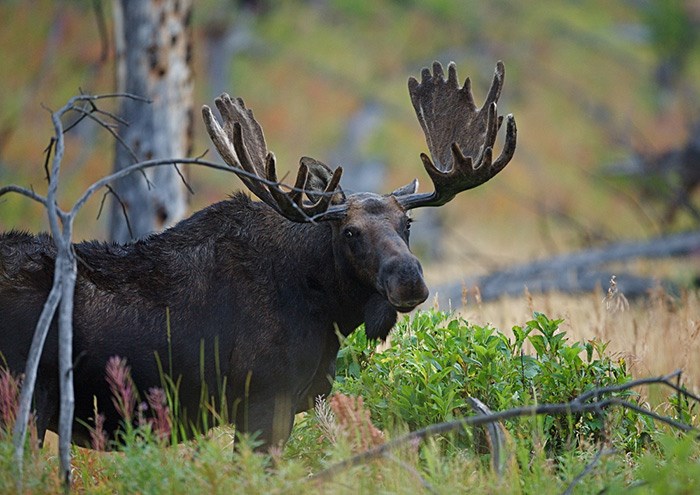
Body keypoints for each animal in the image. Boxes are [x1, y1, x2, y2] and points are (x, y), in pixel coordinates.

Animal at [0, 61, 516, 450]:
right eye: (350, 232)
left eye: (407, 225)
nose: (409, 278)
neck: (326, 312)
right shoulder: (264, 399)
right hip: (23, 397)